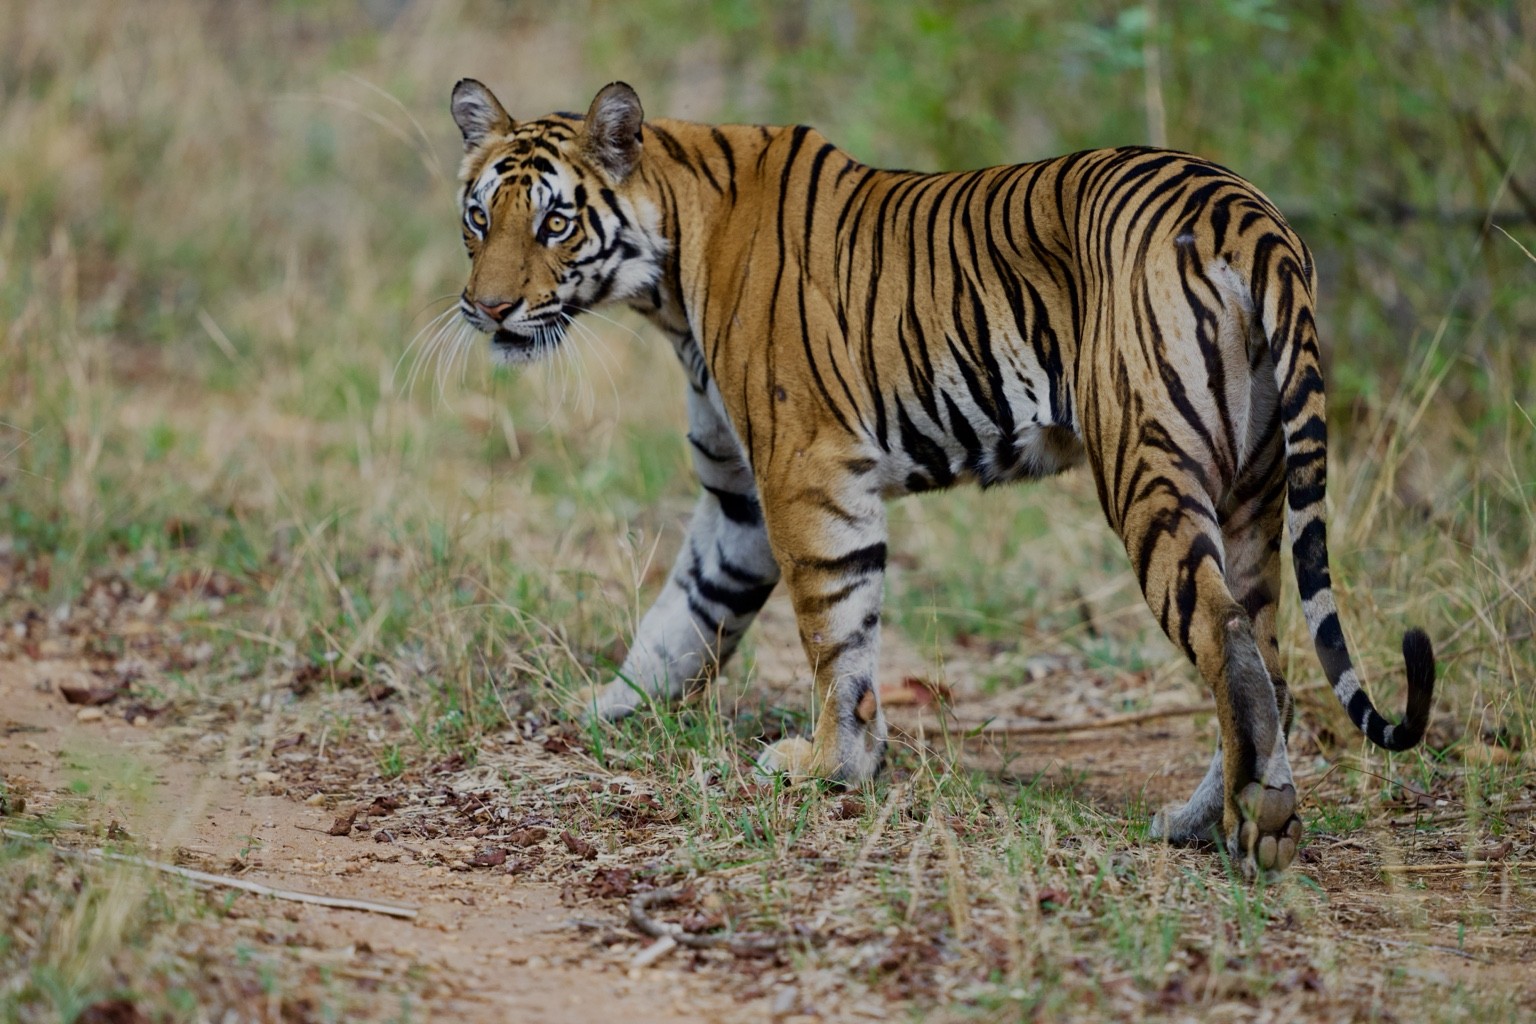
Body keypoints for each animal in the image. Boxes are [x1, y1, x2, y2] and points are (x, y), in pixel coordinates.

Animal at [447, 79, 1435, 876]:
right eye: (478, 217)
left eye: (554, 221)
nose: (486, 310)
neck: (669, 277)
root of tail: (1246, 211)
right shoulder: (736, 495)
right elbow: (685, 613)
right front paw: (609, 709)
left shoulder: (804, 471)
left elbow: (834, 630)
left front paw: (830, 766)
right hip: (1254, 491)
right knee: (1268, 658)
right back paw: (1214, 817)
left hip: (1148, 465)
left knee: (1226, 636)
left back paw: (1248, 827)